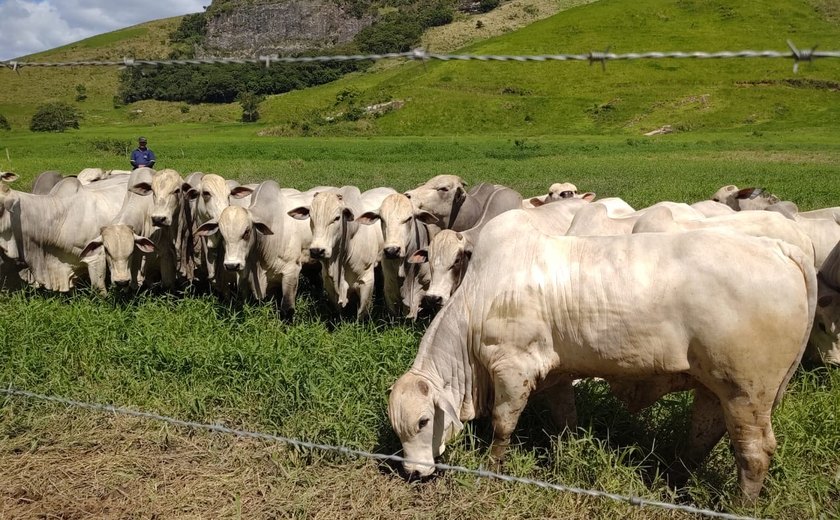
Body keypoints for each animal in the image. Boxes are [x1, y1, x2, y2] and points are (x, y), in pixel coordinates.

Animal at [390, 209, 816, 502]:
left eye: (424, 421)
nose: (412, 471)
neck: (479, 297)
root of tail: (781, 248)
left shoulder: (513, 370)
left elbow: (502, 426)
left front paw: (493, 469)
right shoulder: (555, 376)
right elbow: (566, 421)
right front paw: (568, 456)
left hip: (747, 392)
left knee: (754, 453)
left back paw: (740, 504)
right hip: (716, 386)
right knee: (704, 433)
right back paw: (673, 478)